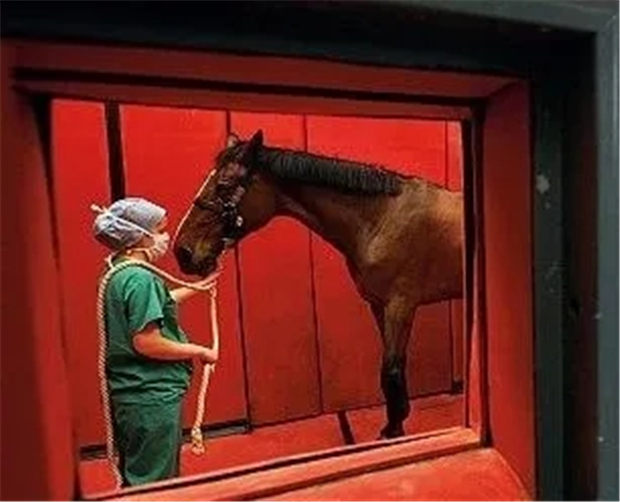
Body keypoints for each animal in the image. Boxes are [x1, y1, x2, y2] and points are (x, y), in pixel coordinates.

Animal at [174, 130, 464, 439]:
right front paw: (395, 420)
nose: (183, 252)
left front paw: (393, 430)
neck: (381, 218)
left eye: (224, 185)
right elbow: (391, 366)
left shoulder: (400, 307)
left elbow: (391, 370)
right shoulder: (379, 305)